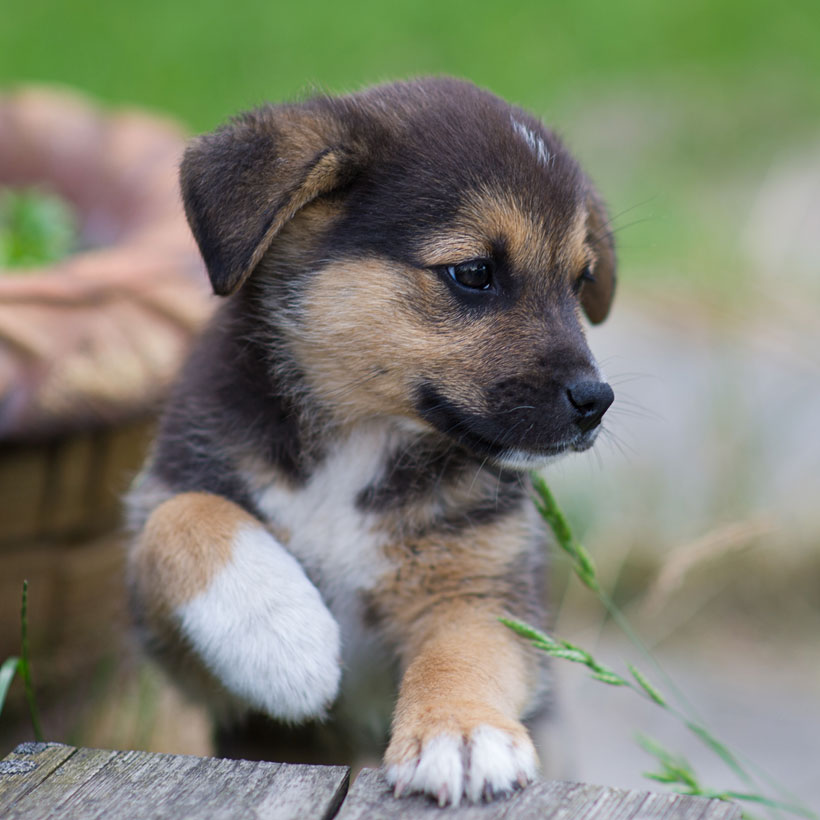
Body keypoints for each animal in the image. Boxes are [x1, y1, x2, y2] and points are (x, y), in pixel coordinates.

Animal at [126, 77, 616, 808]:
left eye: (581, 280)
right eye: (474, 272)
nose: (594, 403)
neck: (361, 435)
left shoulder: (485, 585)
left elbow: (464, 652)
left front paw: (459, 732)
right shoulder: (166, 616)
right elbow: (181, 518)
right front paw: (283, 638)